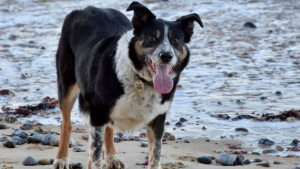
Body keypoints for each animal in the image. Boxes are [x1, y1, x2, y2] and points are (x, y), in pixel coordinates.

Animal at [53, 1, 204, 169]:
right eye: (152, 38)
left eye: (176, 40)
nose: (166, 56)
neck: (141, 79)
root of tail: (87, 8)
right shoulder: (97, 115)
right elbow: (95, 156)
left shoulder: (157, 119)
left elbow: (155, 155)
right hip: (67, 86)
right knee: (66, 124)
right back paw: (61, 159)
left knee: (109, 129)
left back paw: (112, 157)